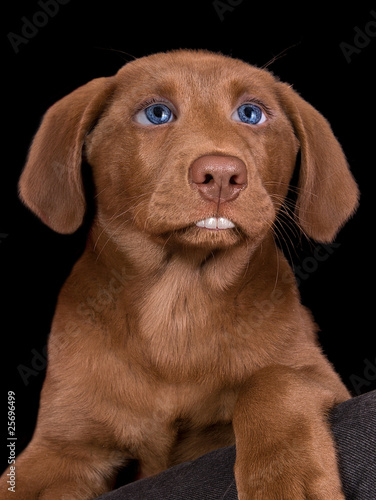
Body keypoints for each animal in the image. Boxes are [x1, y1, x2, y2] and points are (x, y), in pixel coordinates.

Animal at [0, 49, 358, 496]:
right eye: (157, 113)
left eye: (251, 113)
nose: (221, 175)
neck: (178, 301)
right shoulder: (60, 447)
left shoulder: (321, 377)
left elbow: (273, 379)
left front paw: (284, 479)